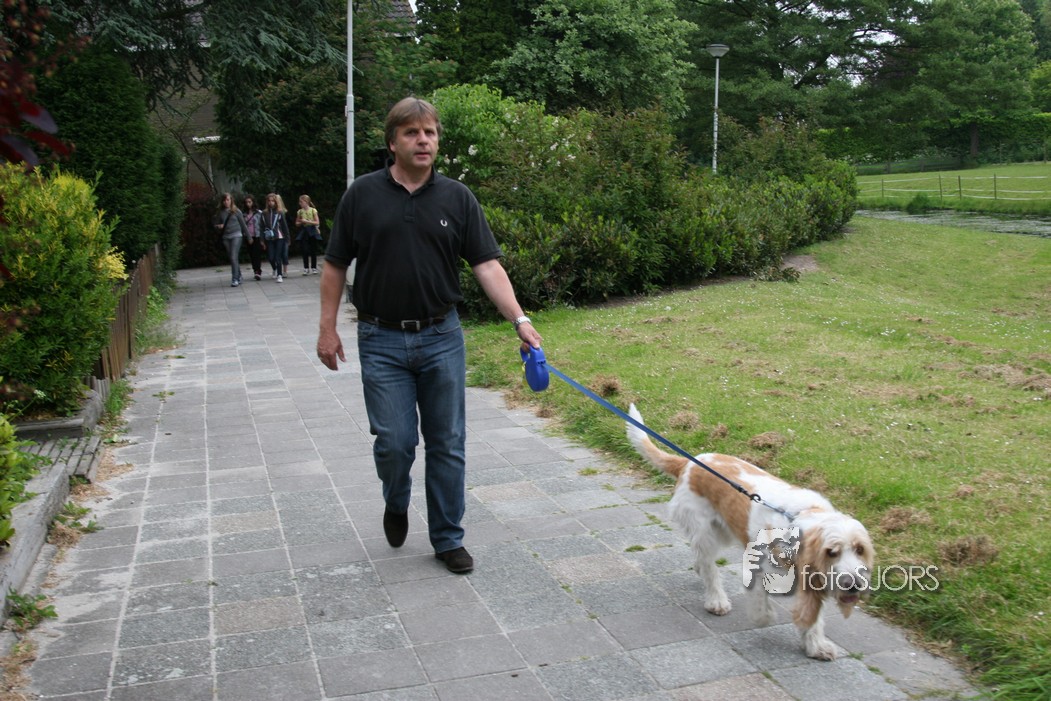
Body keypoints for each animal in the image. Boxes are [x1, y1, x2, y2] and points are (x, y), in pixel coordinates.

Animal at [626, 404, 874, 660]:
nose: (854, 584)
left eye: (860, 549)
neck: (799, 521)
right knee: (709, 567)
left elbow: (813, 618)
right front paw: (764, 617)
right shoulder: (758, 564)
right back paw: (716, 601)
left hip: (723, 530)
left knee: (702, 560)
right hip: (706, 533)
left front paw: (816, 646)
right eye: (831, 552)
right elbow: (762, 605)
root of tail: (689, 464)